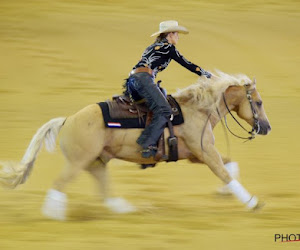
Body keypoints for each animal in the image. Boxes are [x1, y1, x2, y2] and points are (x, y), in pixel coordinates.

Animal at [0, 71, 272, 220]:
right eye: (258, 103)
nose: (266, 128)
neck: (196, 110)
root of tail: (67, 120)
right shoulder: (205, 153)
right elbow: (225, 172)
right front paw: (252, 202)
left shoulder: (197, 154)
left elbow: (229, 166)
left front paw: (225, 193)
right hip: (78, 162)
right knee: (59, 184)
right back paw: (54, 216)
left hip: (96, 161)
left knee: (104, 189)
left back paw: (124, 209)